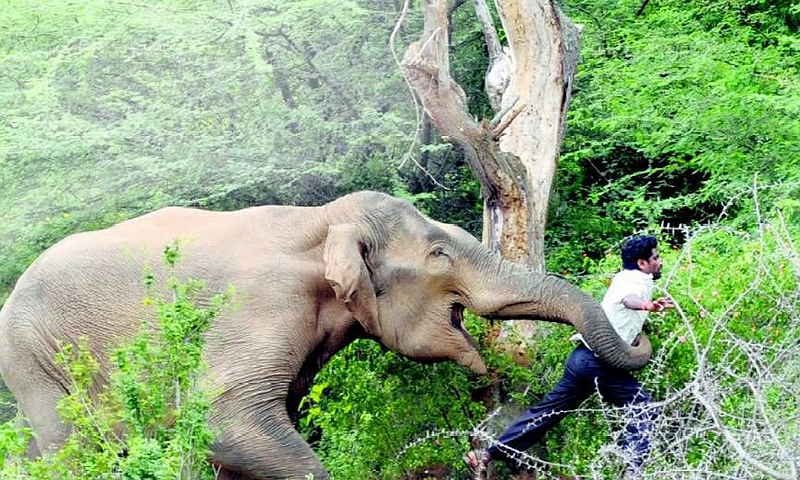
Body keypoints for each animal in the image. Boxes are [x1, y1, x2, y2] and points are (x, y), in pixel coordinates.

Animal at [0, 190, 651, 479]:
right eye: (439, 254)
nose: (493, 390)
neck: (319, 220)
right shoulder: (258, 309)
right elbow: (225, 420)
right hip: (34, 362)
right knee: (69, 448)